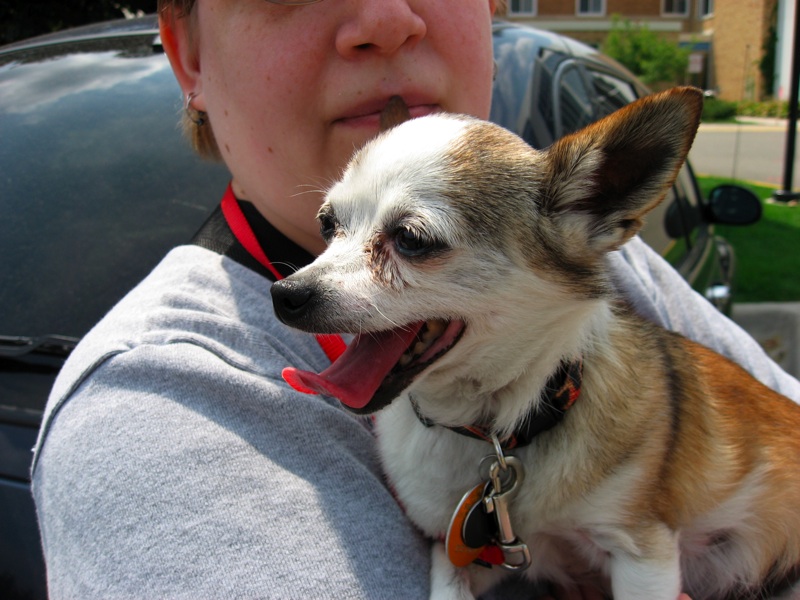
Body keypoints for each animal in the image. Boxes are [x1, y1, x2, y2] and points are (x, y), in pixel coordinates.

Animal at [272, 88, 800, 600]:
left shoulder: (643, 554)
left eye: (411, 239)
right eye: (327, 225)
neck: (492, 428)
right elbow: (447, 585)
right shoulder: (463, 553)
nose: (285, 294)